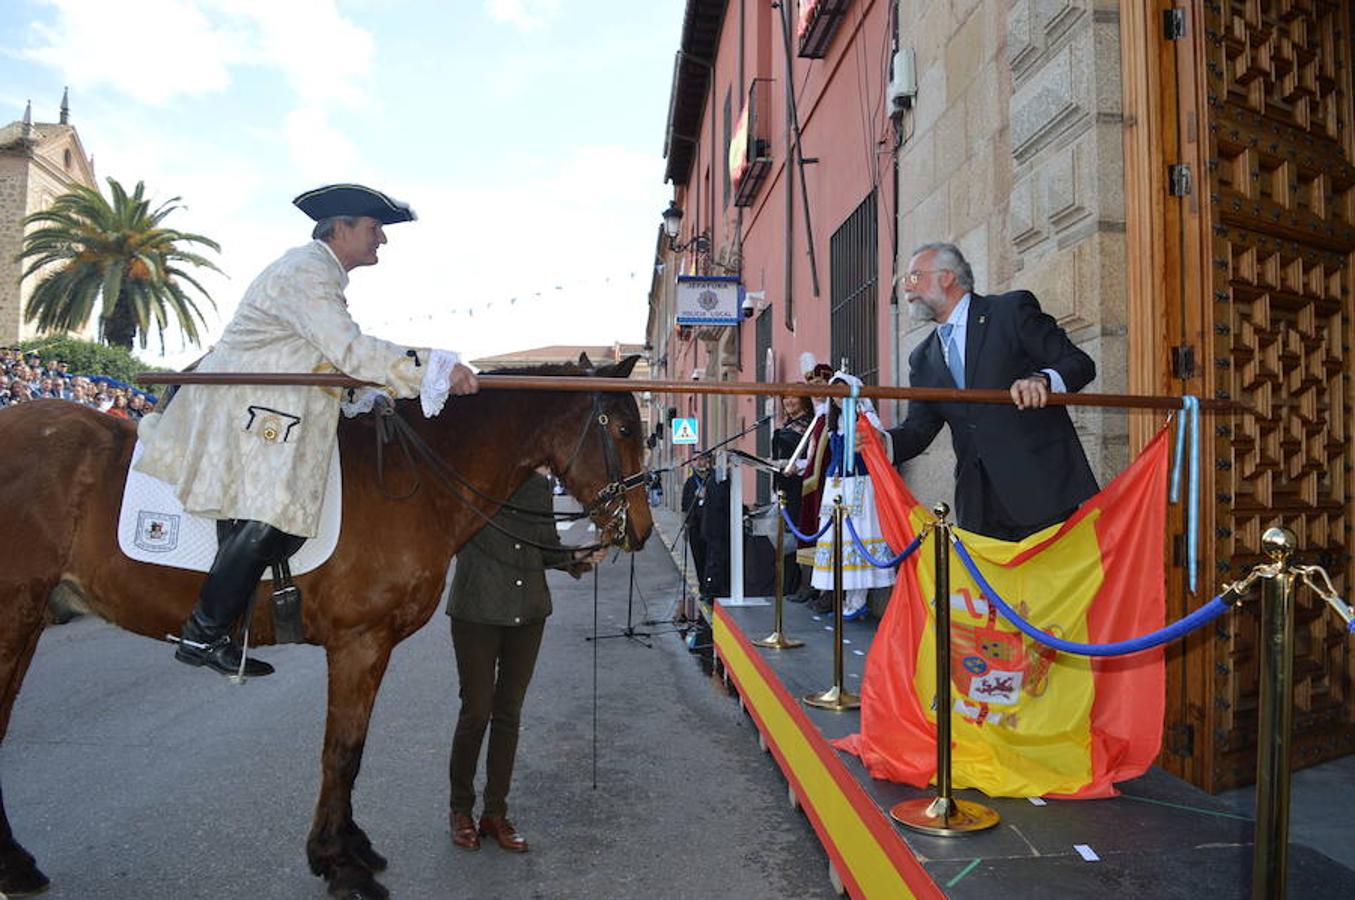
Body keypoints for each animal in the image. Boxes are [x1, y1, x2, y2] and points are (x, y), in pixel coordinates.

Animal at [0, 355, 650, 894]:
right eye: (623, 431)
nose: (639, 529)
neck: (411, 480)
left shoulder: (371, 647)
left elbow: (352, 749)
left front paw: (350, 848)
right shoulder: (359, 643)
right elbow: (342, 753)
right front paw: (340, 865)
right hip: (14, 615)